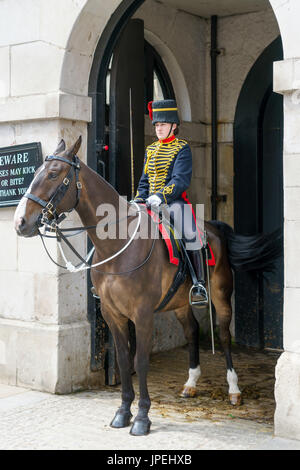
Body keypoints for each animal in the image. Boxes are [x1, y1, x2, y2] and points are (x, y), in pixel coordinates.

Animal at [13, 137, 282, 436]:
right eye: (37, 171)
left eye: (52, 174)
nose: (20, 222)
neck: (116, 246)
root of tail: (214, 226)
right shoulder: (111, 314)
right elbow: (123, 359)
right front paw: (122, 412)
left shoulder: (141, 314)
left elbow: (140, 361)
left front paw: (142, 417)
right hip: (179, 302)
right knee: (192, 330)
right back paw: (191, 383)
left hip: (221, 296)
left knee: (223, 336)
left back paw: (234, 389)